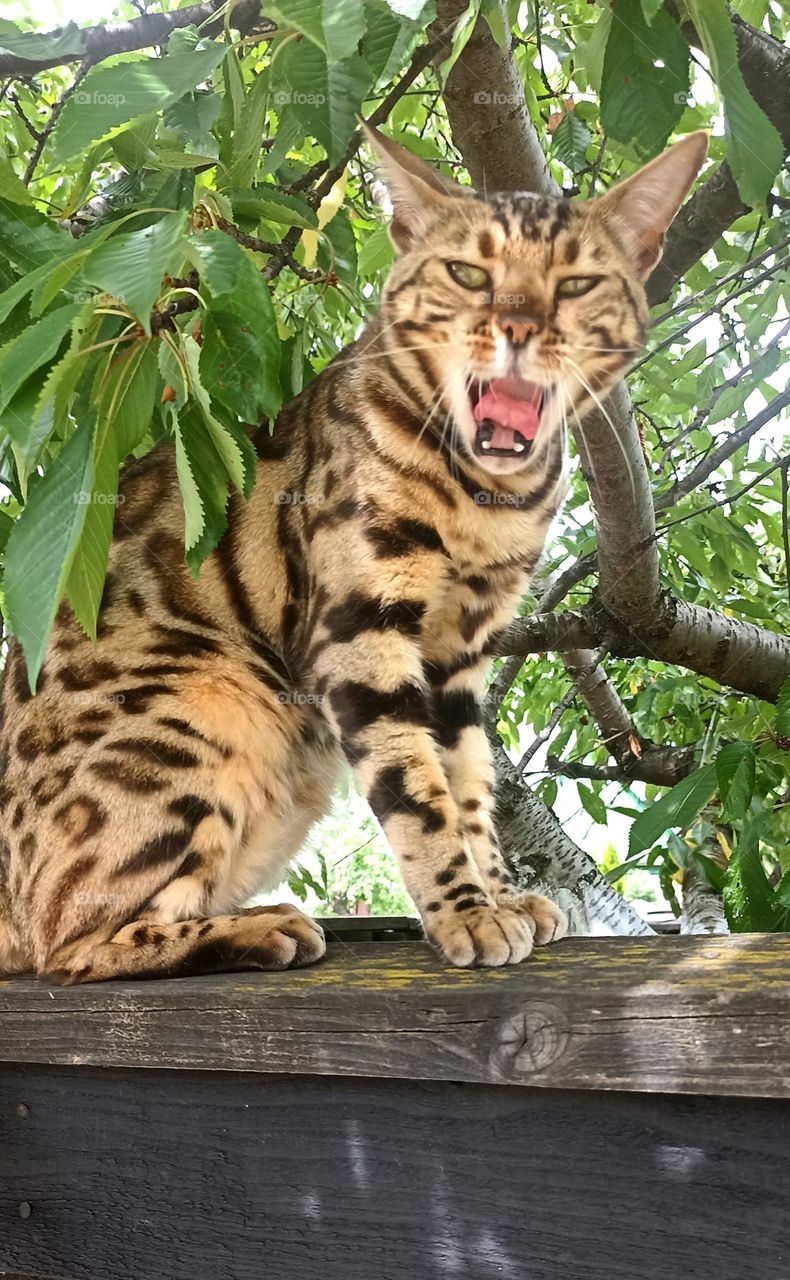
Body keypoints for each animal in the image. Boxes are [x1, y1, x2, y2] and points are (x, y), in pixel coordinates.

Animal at [0, 124, 706, 977]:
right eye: (469, 274)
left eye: (574, 285)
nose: (519, 329)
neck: (486, 500)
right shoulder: (360, 630)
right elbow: (418, 794)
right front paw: (466, 913)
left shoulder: (462, 651)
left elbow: (469, 786)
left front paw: (497, 895)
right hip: (206, 707)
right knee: (64, 944)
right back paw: (256, 927)